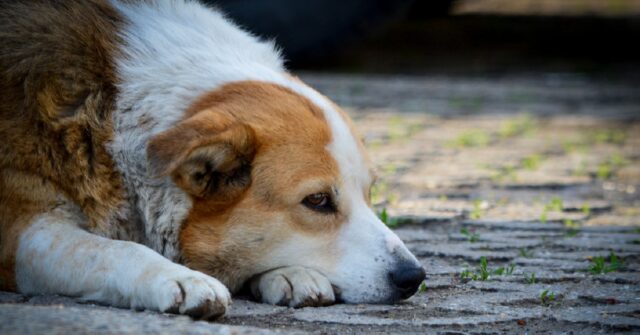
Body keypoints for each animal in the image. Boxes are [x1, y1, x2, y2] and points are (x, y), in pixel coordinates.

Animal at [0, 0, 428, 320]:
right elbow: (109, 250)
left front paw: (290, 274)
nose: (414, 276)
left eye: (369, 193)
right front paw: (176, 277)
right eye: (318, 201)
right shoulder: (21, 231)